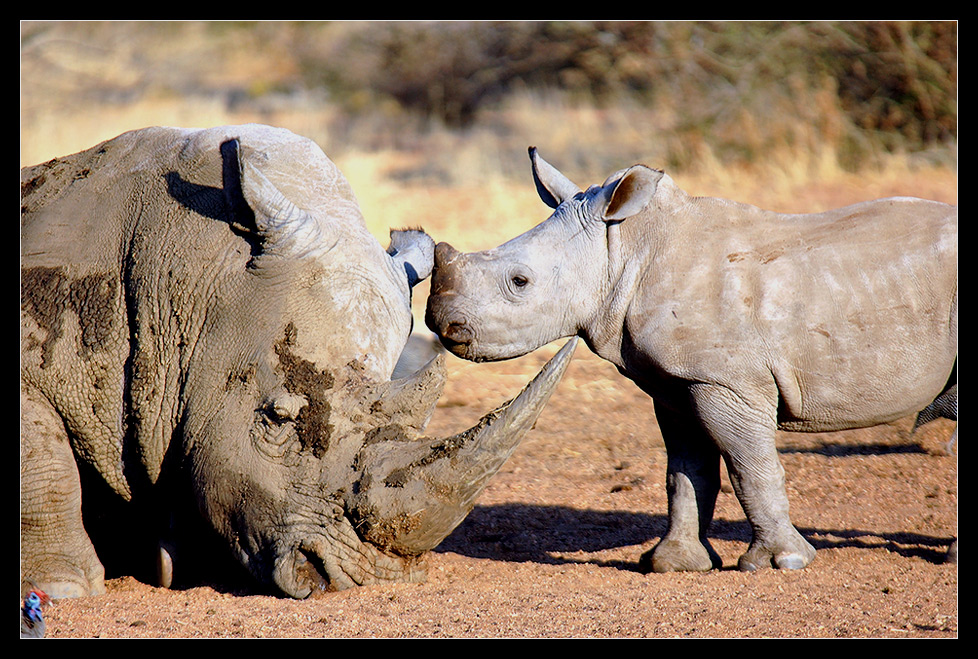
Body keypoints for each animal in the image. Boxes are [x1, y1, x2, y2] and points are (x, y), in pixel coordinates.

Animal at [426, 147, 952, 576]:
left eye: (519, 282)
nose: (441, 323)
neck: (625, 248)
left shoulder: (727, 381)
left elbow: (750, 466)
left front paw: (782, 563)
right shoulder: (678, 383)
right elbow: (686, 471)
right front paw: (672, 565)